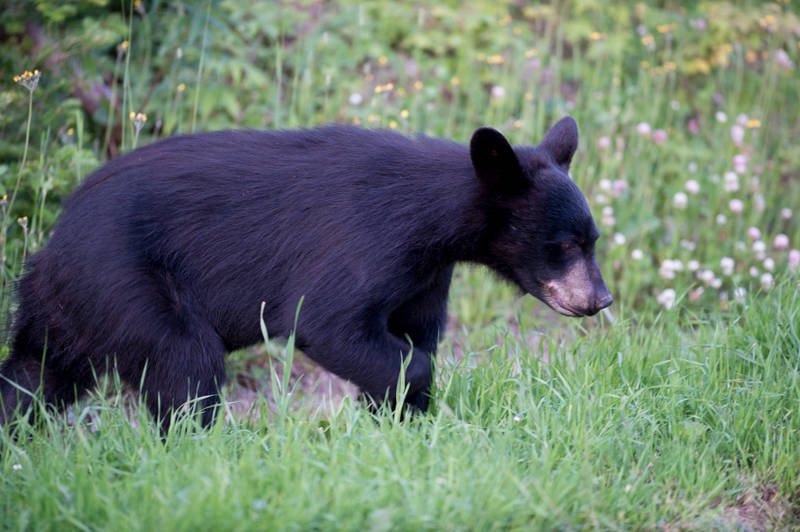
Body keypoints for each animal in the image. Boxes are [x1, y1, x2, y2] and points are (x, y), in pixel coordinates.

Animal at [1, 116, 612, 428]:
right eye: (565, 243)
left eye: (593, 240)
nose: (600, 300)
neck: (435, 224)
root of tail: (49, 251)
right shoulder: (367, 242)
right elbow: (332, 323)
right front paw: (401, 402)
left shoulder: (424, 274)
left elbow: (415, 332)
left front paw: (400, 424)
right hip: (129, 283)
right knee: (185, 363)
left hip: (72, 311)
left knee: (33, 376)